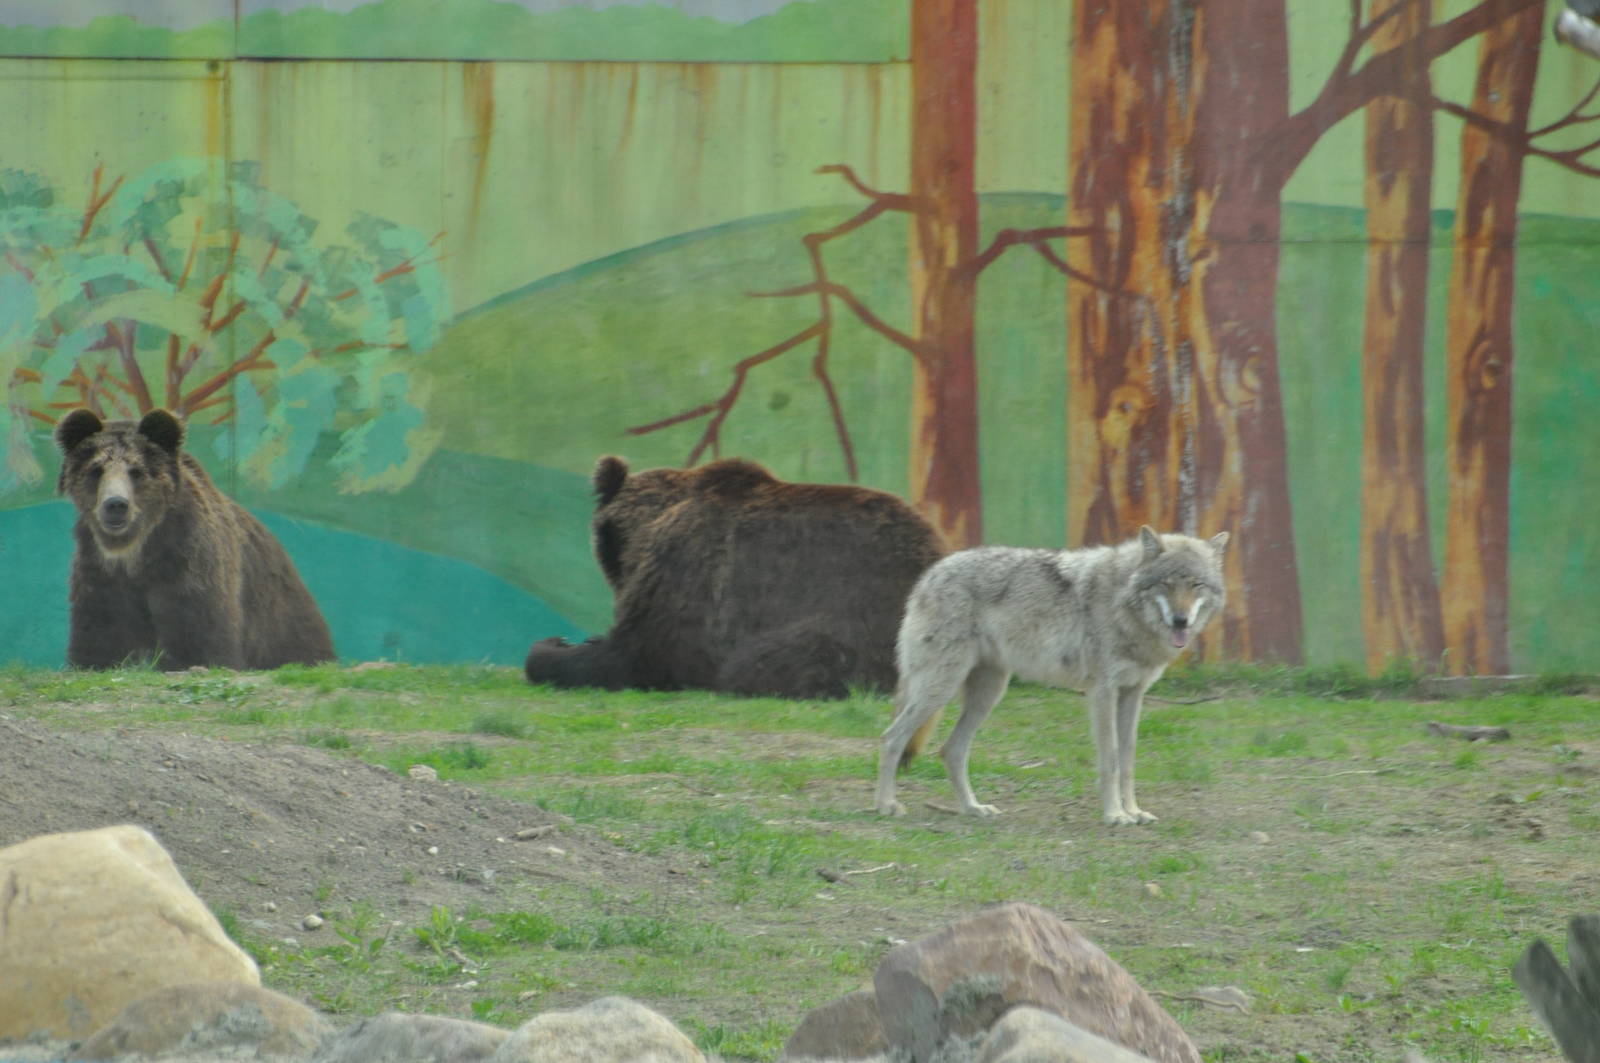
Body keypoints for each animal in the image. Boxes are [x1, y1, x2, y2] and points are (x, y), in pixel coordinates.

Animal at [55, 407, 335, 671]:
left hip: (280, 619)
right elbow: (101, 634)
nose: (116, 505)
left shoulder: (189, 566)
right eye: (96, 469)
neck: (136, 551)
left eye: (136, 471)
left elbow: (200, 635)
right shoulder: (100, 573)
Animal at [875, 526, 1229, 824]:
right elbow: (1111, 759)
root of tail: (931, 572)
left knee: (952, 750)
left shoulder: (1133, 693)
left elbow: (1128, 759)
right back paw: (886, 805)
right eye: (1166, 584)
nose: (1181, 621)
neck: (1124, 606)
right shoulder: (1102, 692)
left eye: (1195, 584)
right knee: (892, 736)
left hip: (988, 694)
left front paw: (1134, 811)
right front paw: (1115, 815)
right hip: (941, 688)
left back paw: (973, 808)